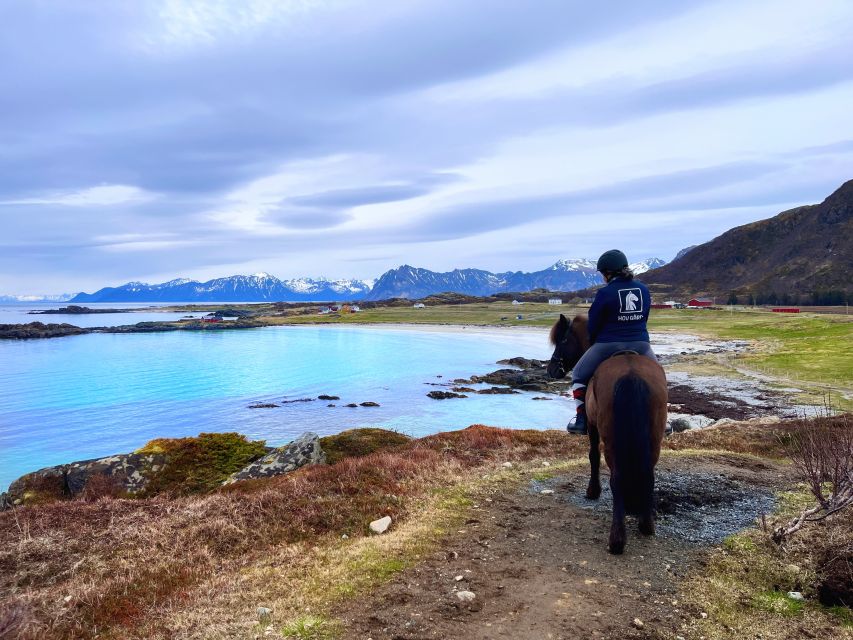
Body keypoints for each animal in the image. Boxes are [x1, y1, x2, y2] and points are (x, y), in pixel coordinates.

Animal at [548, 312, 668, 552]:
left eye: (563, 341)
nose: (551, 370)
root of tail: (631, 374)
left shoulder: (593, 427)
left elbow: (593, 456)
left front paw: (593, 491)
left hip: (611, 438)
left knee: (617, 478)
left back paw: (617, 540)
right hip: (653, 438)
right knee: (648, 474)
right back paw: (646, 524)